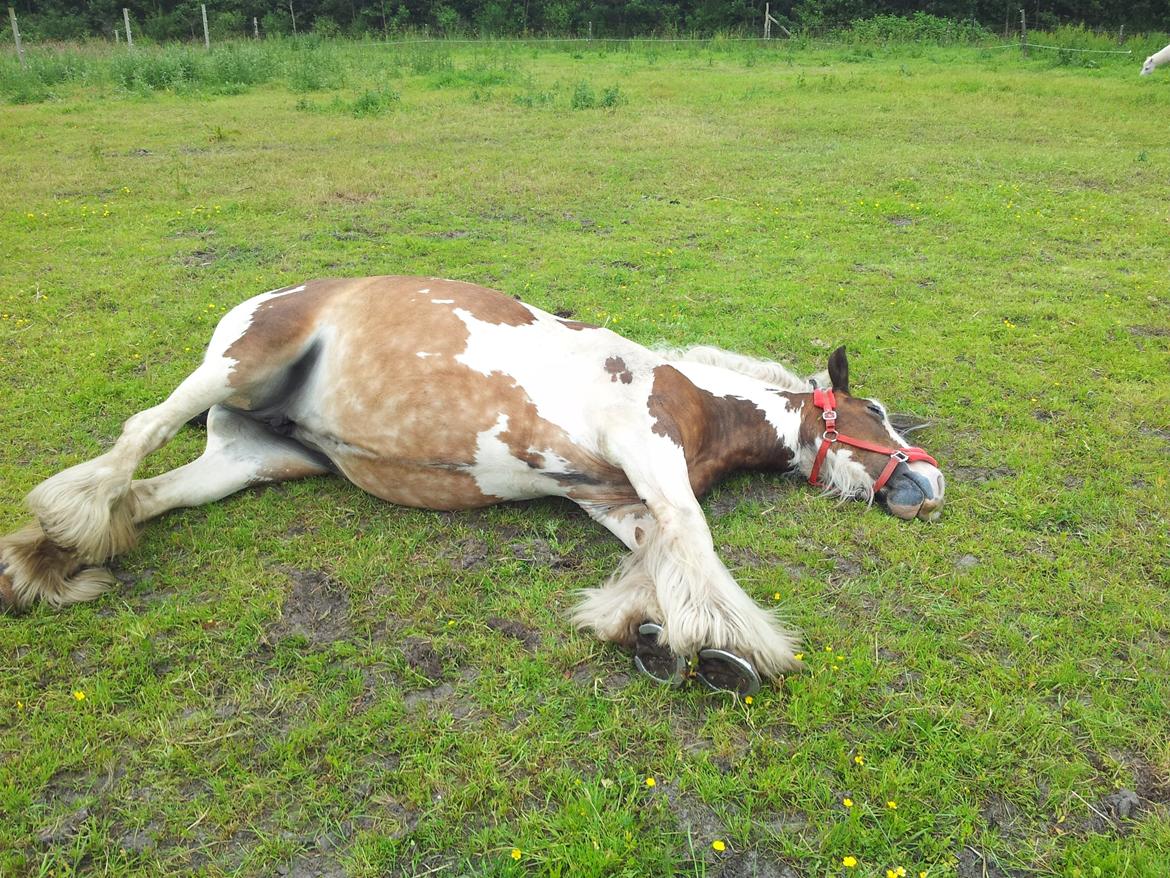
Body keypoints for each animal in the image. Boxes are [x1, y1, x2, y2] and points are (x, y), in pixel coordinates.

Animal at [0, 278, 940, 697]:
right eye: (877, 413)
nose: (929, 484)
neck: (688, 396)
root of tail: (262, 298)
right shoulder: (647, 450)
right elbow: (694, 538)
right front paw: (726, 640)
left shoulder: (610, 497)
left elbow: (660, 550)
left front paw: (649, 629)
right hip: (238, 366)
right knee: (138, 435)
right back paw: (65, 516)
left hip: (250, 458)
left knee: (148, 499)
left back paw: (49, 560)